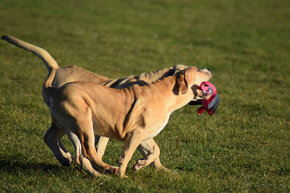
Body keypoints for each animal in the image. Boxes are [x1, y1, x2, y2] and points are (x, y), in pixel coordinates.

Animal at [0, 35, 208, 175]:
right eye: (198, 69)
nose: (208, 68)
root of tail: (56, 69)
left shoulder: (141, 132)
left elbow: (154, 151)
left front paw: (155, 167)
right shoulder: (131, 130)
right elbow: (116, 150)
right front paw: (122, 168)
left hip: (63, 123)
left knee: (51, 138)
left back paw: (66, 158)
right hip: (81, 123)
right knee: (80, 150)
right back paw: (88, 166)